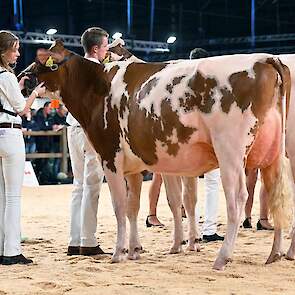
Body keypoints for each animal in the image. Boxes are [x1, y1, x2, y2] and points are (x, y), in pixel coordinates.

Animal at [22, 41, 292, 270]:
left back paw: (223, 257)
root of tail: (266, 58)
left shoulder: (110, 157)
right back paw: (275, 254)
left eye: (42, 61)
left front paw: (118, 253)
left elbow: (119, 207)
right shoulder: (134, 168)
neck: (97, 87)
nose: (21, 77)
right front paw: (135, 250)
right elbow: (134, 207)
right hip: (272, 154)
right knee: (275, 194)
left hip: (230, 153)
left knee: (237, 199)